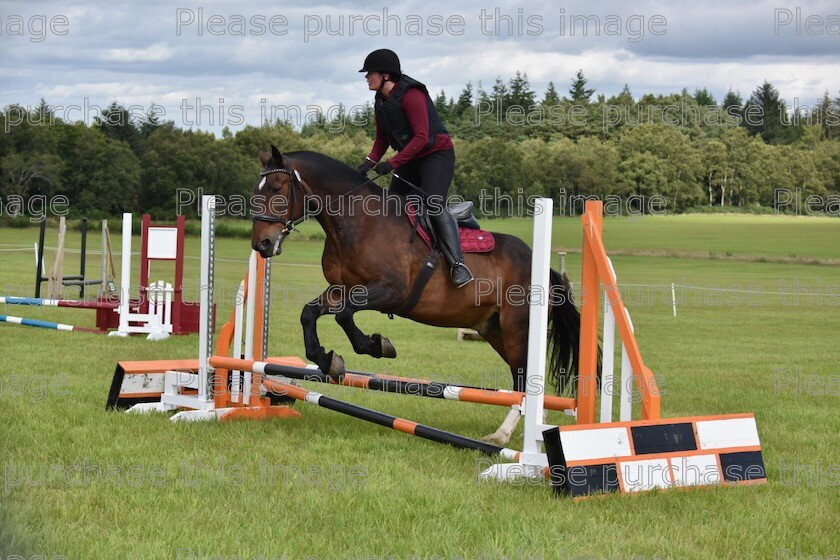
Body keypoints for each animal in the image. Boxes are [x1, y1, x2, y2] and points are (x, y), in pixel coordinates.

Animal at [249, 145, 576, 446]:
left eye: (277, 188)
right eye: (257, 189)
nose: (261, 244)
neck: (358, 223)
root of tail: (542, 267)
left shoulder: (390, 291)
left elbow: (344, 315)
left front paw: (377, 345)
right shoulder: (341, 289)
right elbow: (310, 312)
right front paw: (327, 359)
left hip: (517, 329)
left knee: (524, 379)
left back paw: (501, 436)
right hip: (494, 330)